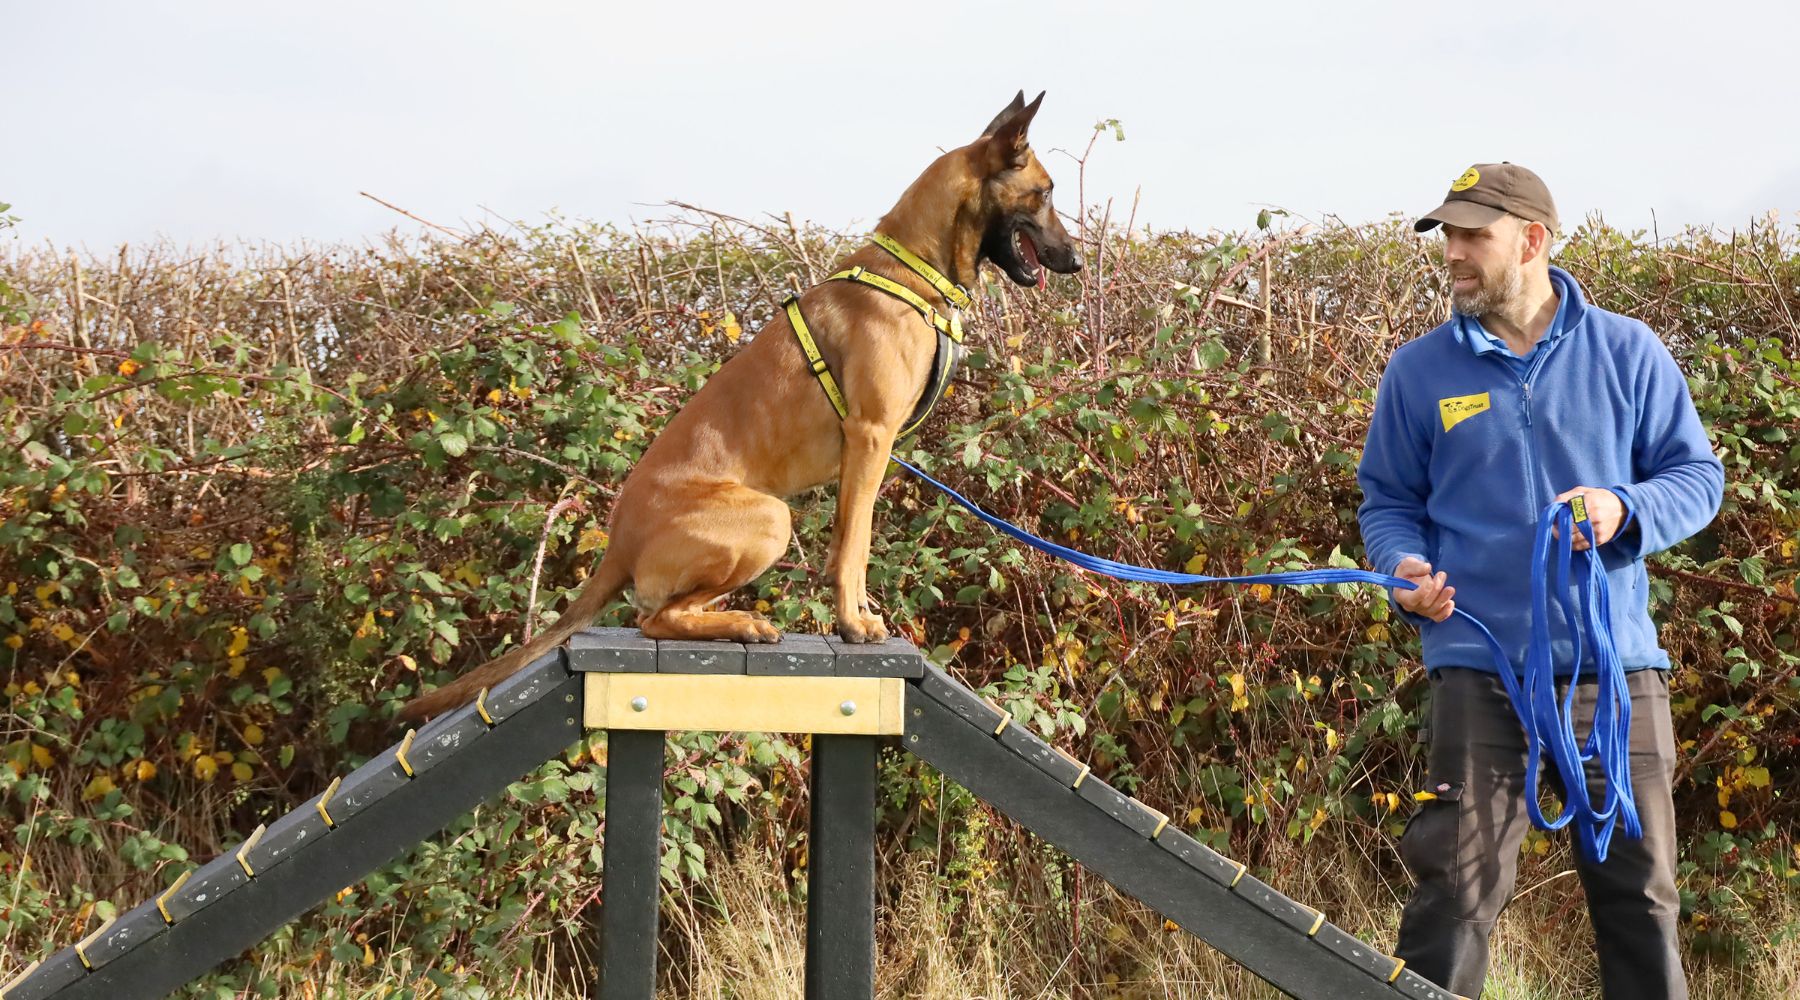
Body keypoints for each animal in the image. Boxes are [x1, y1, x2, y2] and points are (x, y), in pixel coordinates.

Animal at [405, 91, 1080, 719]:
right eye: (1046, 192)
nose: (1076, 261)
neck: (911, 272)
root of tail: (620, 540)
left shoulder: (864, 454)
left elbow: (845, 540)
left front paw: (852, 617)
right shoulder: (870, 436)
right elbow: (857, 546)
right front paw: (855, 624)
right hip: (769, 518)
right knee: (654, 619)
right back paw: (740, 623)